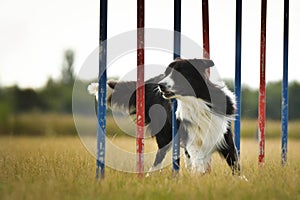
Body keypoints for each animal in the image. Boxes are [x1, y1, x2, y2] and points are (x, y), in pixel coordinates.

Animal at [88, 57, 240, 175]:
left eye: (180, 73)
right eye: (167, 73)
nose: (160, 85)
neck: (197, 102)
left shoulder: (223, 132)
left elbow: (234, 161)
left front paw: (240, 180)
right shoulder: (190, 134)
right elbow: (197, 156)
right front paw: (199, 174)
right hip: (165, 134)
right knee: (159, 157)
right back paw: (149, 175)